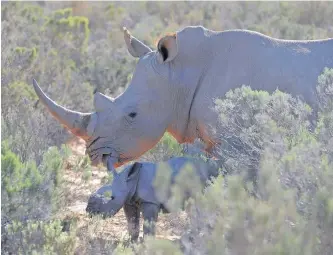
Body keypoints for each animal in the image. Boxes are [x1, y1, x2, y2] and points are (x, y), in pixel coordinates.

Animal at [86, 155, 220, 241]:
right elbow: (132, 222)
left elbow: (148, 224)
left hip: (207, 180)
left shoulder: (150, 201)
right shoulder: (129, 201)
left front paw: (147, 244)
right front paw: (131, 242)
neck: (130, 181)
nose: (90, 209)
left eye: (112, 198)